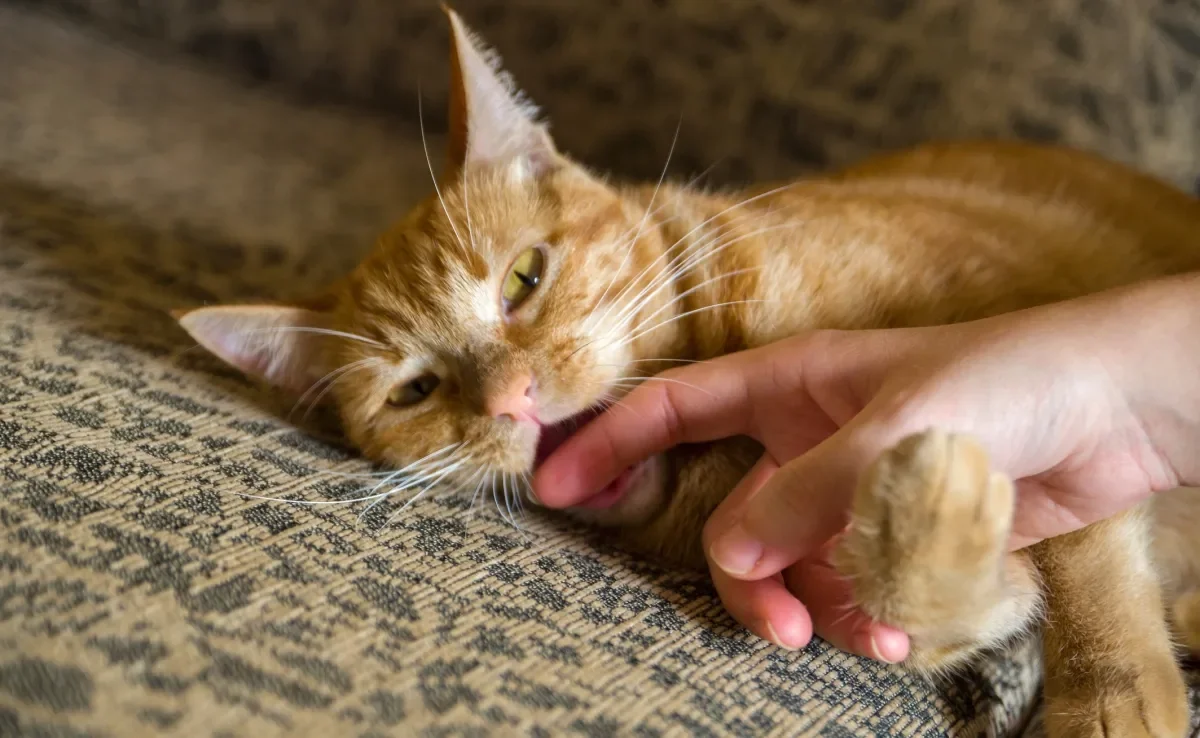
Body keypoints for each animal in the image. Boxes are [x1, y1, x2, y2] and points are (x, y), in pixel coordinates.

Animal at [175, 7, 1200, 738]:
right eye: (416, 391)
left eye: (523, 279)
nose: (511, 399)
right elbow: (940, 602)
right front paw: (937, 518)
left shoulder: (1028, 335)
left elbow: (1087, 558)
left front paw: (1108, 700)